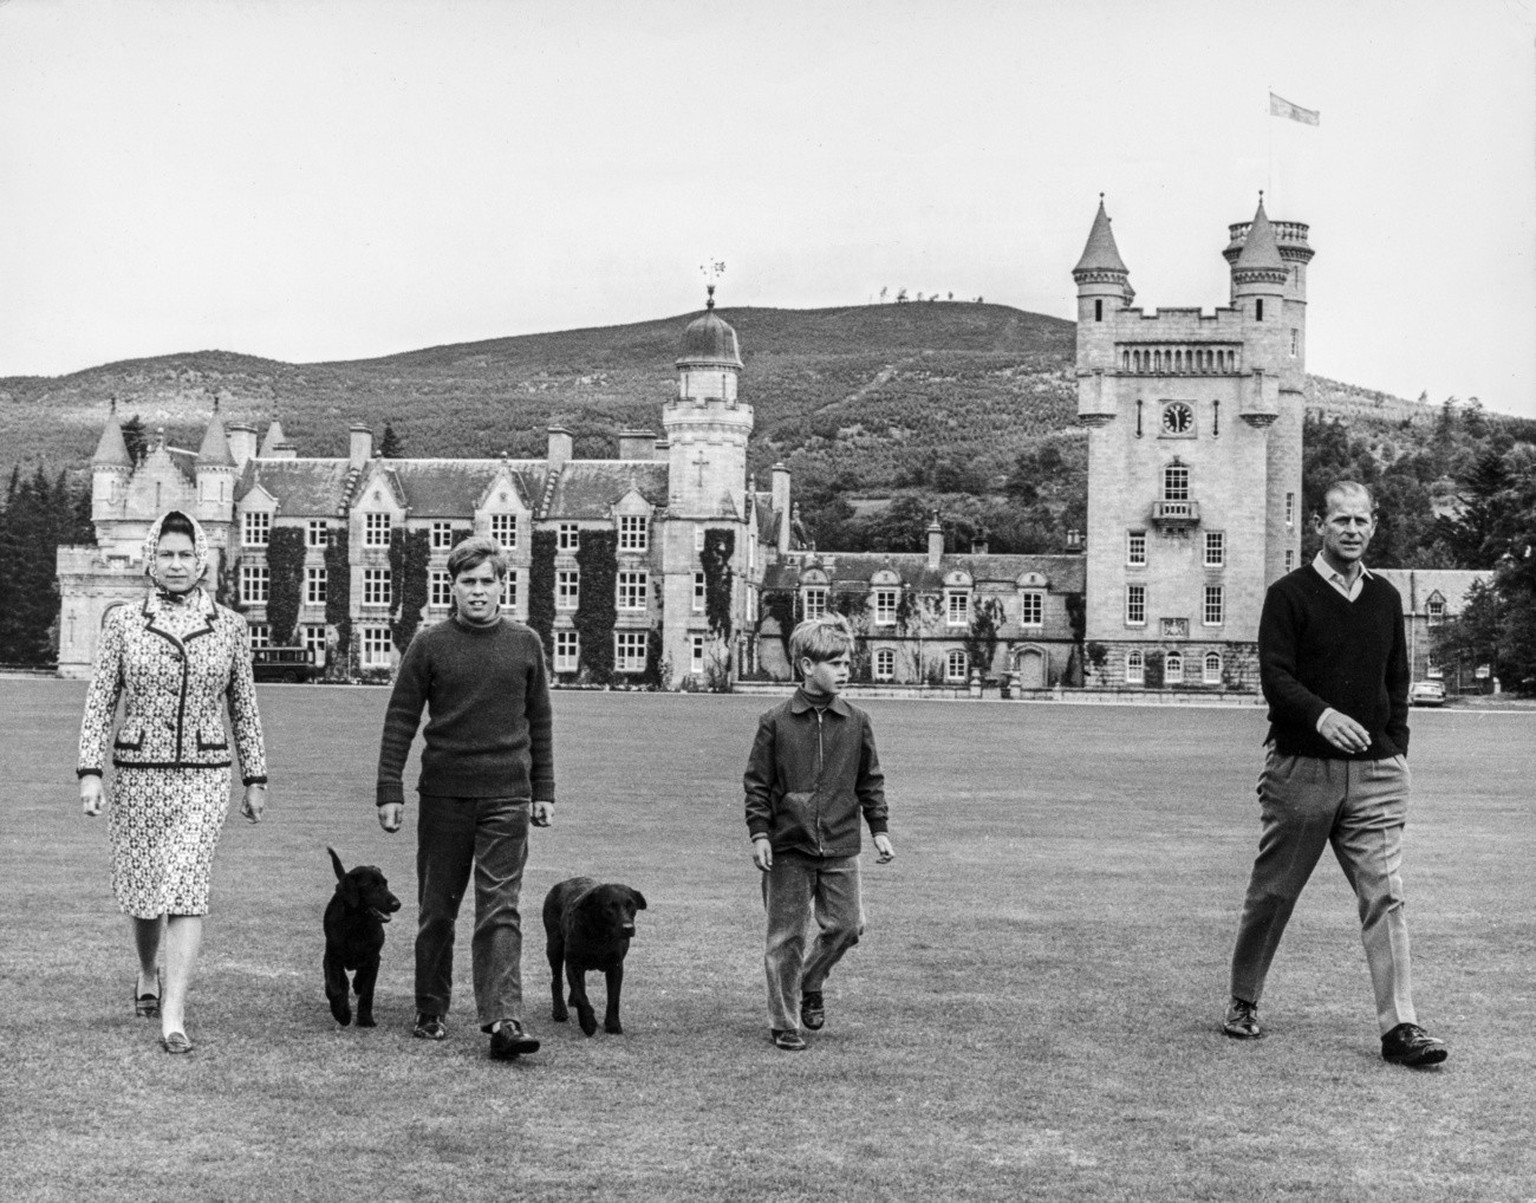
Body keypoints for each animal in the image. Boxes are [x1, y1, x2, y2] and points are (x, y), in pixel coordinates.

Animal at [322, 848, 399, 1026]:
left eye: (385, 883)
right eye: (370, 885)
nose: (397, 904)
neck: (356, 925)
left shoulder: (374, 957)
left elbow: (367, 991)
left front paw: (365, 1019)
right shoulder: (331, 957)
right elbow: (333, 988)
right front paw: (342, 1014)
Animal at [543, 872, 645, 1032]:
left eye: (631, 905)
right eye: (609, 906)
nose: (628, 928)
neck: (599, 935)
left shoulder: (616, 966)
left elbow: (613, 997)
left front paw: (613, 1024)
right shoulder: (573, 964)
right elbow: (582, 996)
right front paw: (588, 1022)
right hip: (554, 947)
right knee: (556, 981)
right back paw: (559, 1011)